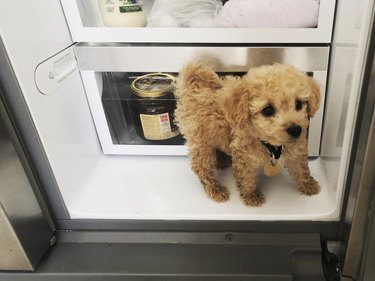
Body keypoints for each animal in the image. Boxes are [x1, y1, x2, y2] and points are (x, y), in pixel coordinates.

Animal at [175, 63, 322, 206]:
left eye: (298, 104)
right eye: (268, 110)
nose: (295, 129)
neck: (271, 145)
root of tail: (193, 87)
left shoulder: (296, 148)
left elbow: (301, 168)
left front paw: (309, 185)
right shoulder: (244, 155)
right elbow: (246, 177)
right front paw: (251, 196)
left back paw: (223, 161)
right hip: (200, 140)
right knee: (200, 167)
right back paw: (215, 189)